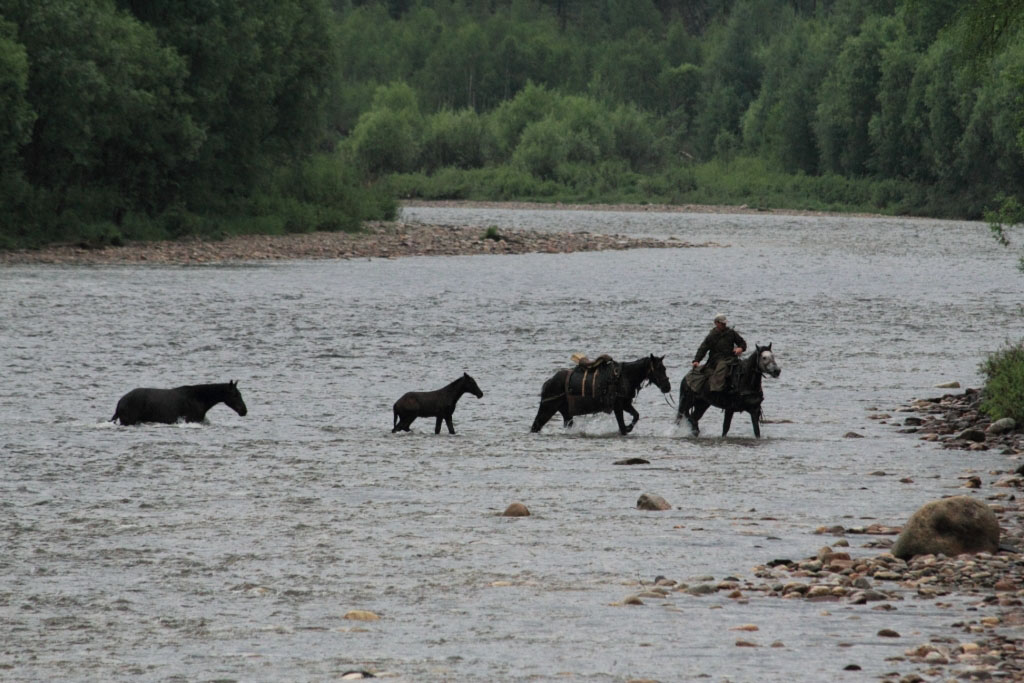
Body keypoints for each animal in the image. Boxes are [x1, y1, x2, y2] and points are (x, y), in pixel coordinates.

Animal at [532, 356, 667, 436]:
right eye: (659, 368)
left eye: (664, 368)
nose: (668, 386)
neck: (626, 376)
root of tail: (548, 382)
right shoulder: (618, 406)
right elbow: (622, 426)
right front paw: (626, 428)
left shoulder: (625, 404)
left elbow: (636, 415)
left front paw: (629, 427)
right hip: (547, 408)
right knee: (535, 426)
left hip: (566, 413)